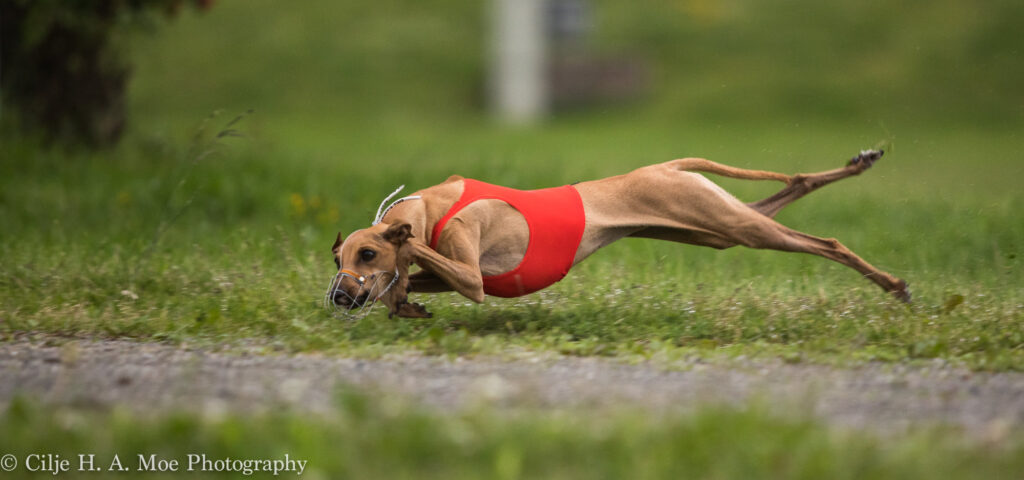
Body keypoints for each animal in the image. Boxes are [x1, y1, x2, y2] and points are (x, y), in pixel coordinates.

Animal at [323, 147, 909, 315]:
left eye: (366, 254)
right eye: (337, 261)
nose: (338, 296)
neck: (432, 206)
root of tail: (669, 165)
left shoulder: (470, 275)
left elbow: (423, 258)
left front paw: (397, 275)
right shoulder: (454, 275)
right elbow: (411, 278)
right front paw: (401, 295)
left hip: (731, 224)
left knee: (827, 242)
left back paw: (893, 284)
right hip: (715, 226)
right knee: (795, 187)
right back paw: (858, 163)